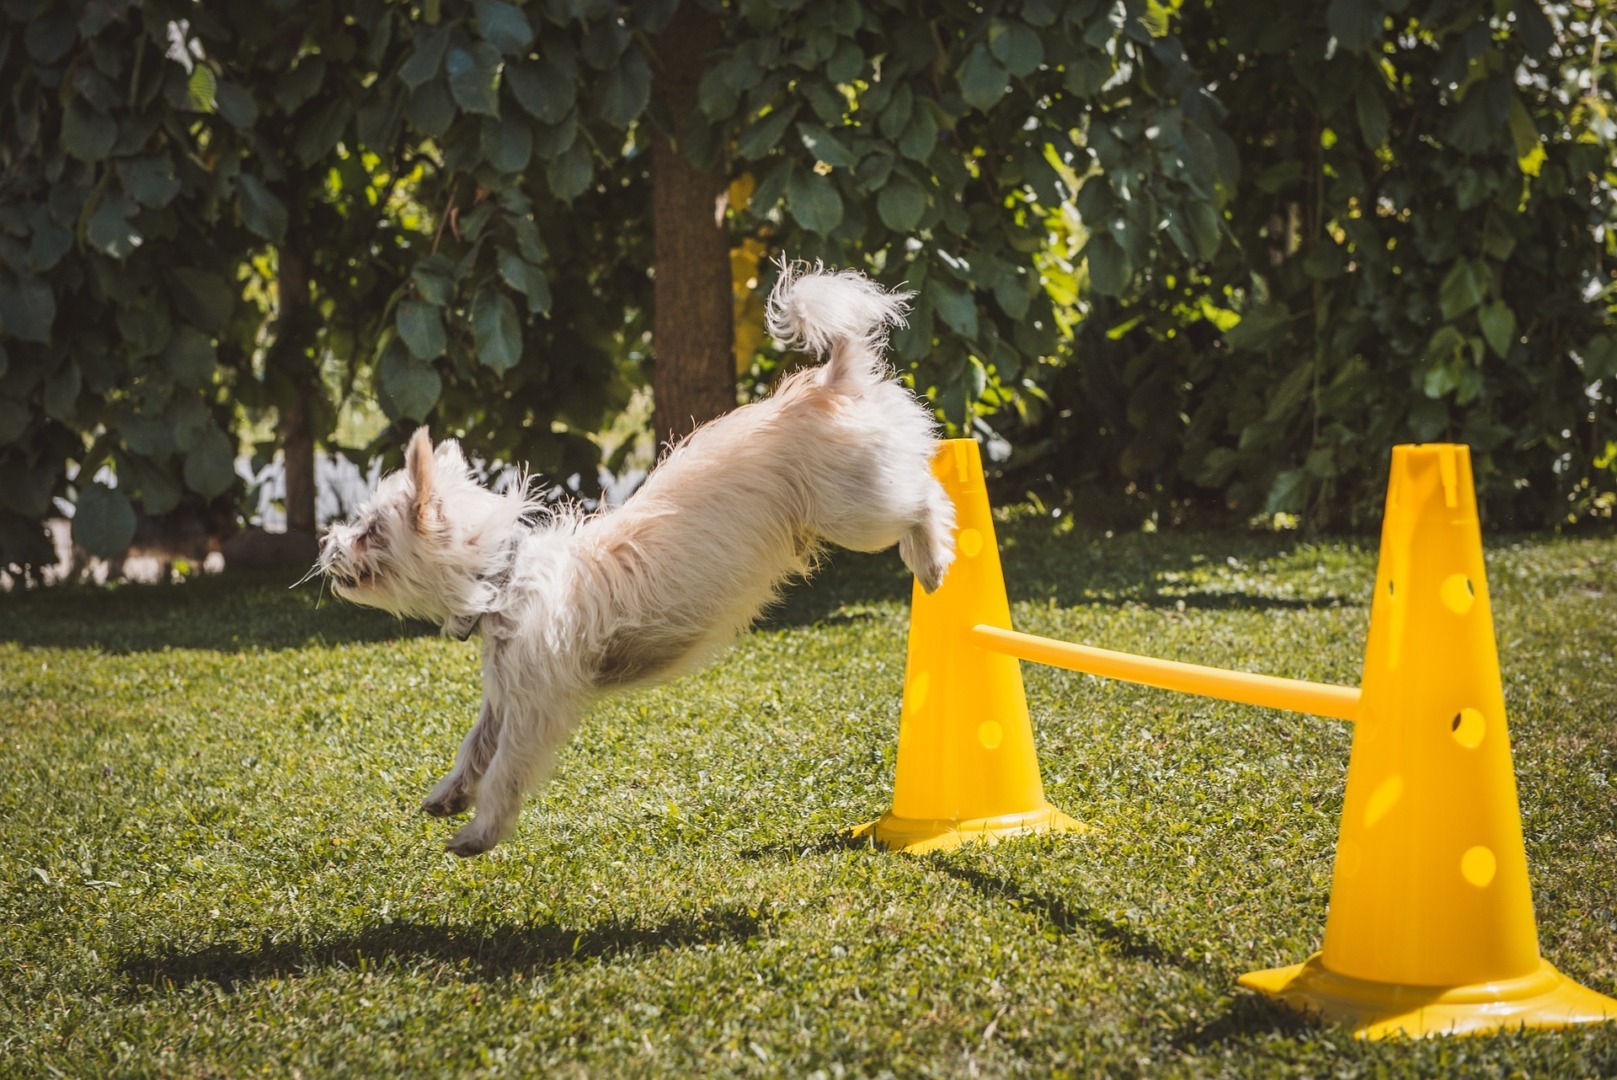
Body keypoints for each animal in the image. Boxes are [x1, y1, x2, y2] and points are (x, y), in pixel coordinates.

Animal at [315, 261, 950, 853]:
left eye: (371, 531)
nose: (327, 544)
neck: (503, 578)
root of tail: (832, 378)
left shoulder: (536, 710)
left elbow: (505, 770)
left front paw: (480, 832)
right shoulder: (506, 695)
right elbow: (476, 747)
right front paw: (448, 796)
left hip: (858, 510)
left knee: (925, 497)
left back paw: (936, 556)